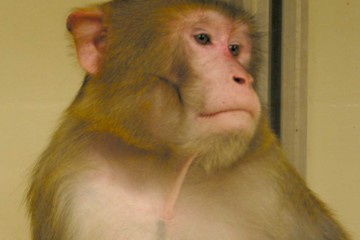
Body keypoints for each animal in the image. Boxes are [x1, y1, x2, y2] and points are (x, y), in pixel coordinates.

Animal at [26, 0, 350, 239]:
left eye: (235, 48)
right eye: (203, 38)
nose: (243, 78)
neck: (169, 165)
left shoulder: (271, 181)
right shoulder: (74, 184)